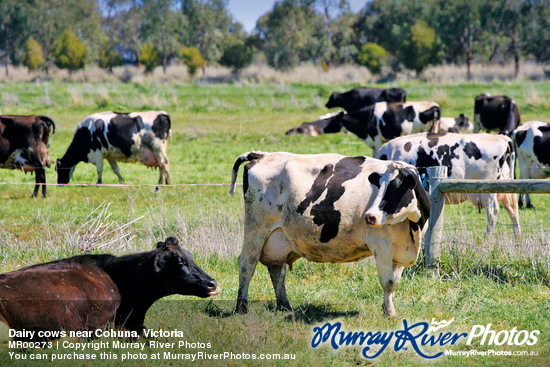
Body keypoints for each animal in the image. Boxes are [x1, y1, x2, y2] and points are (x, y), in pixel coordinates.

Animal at [231, 151, 434, 318]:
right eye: (380, 186)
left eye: (396, 188)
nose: (370, 216)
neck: (413, 228)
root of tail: (262, 155)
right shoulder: (382, 245)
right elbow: (388, 282)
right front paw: (390, 314)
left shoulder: (400, 250)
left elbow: (395, 282)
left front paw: (387, 308)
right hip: (256, 228)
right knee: (247, 264)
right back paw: (242, 308)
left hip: (279, 237)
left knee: (276, 270)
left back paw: (284, 306)